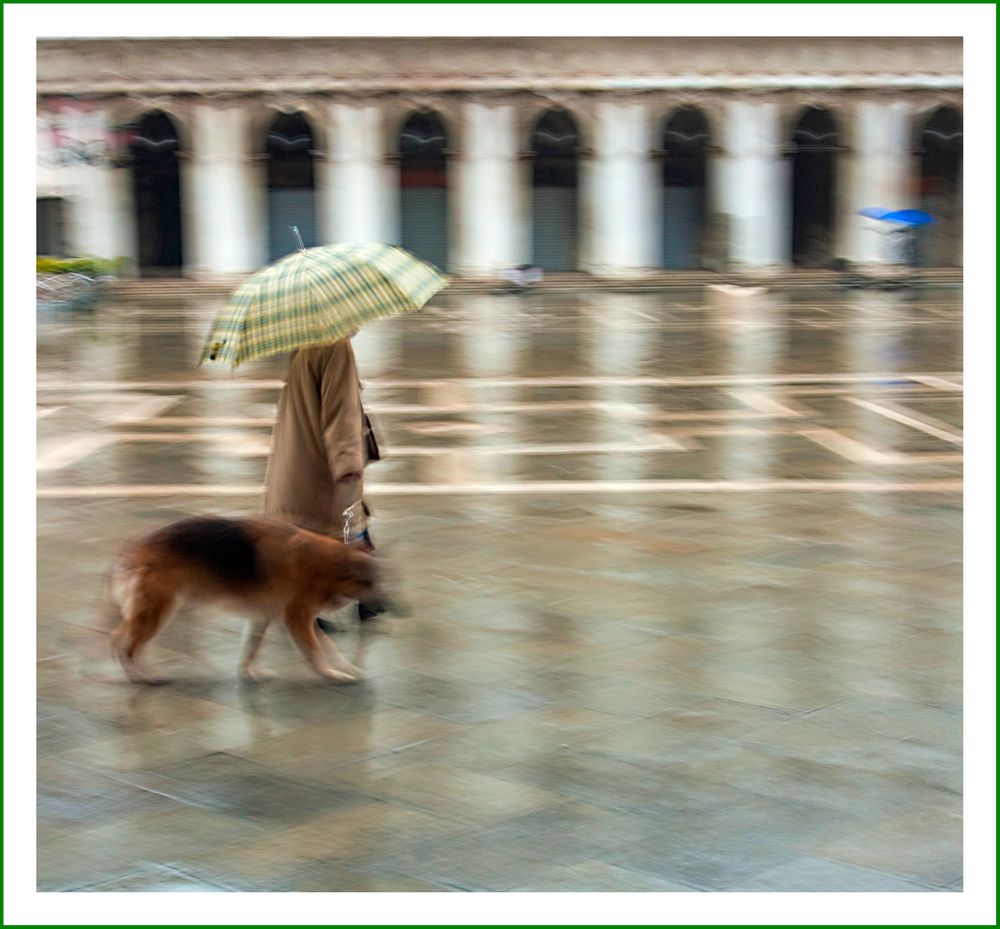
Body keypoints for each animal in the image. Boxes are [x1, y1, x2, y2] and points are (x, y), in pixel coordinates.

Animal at [107, 516, 376, 680]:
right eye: (371, 583)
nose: (381, 607)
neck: (324, 564)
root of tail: (132, 553)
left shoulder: (267, 618)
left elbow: (252, 648)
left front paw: (248, 672)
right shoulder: (297, 619)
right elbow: (317, 650)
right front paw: (330, 674)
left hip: (156, 612)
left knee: (128, 640)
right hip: (157, 612)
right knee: (122, 641)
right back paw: (139, 674)